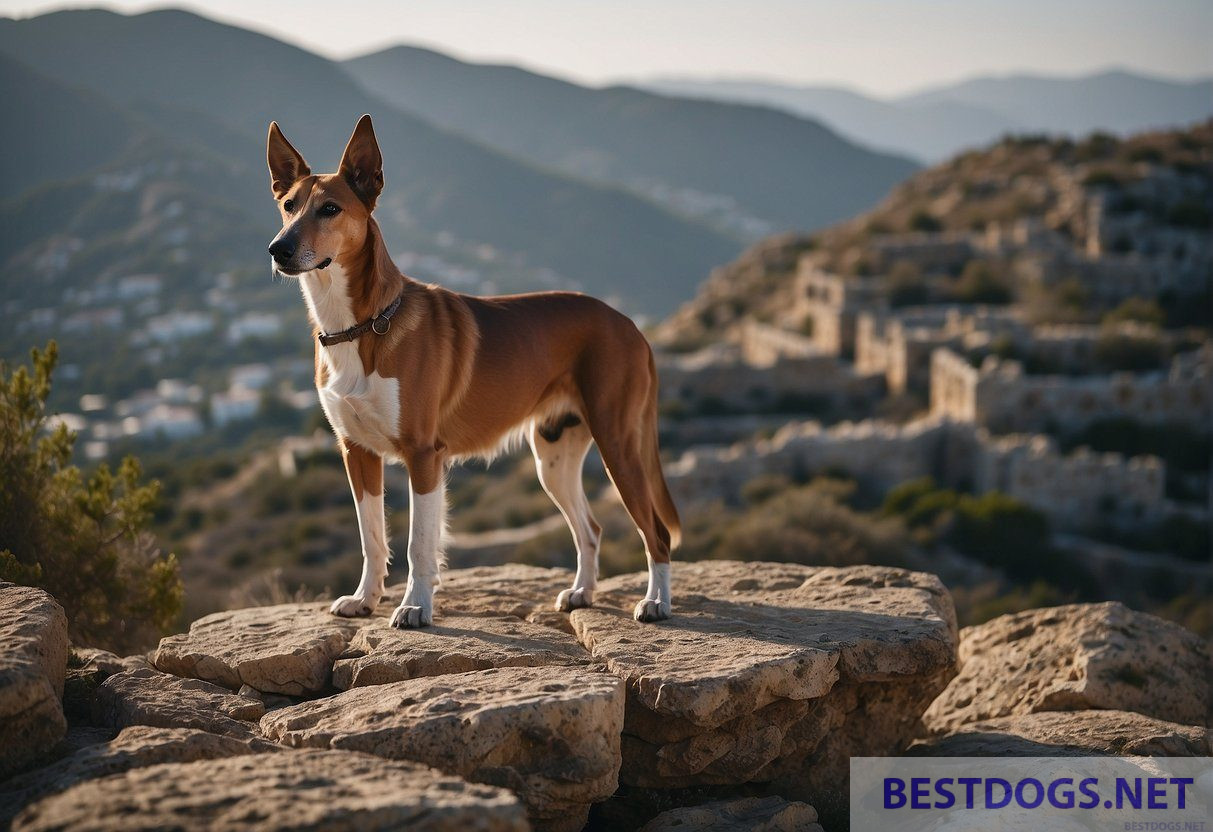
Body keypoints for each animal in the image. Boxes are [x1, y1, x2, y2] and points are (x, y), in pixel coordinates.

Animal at [268, 114, 684, 630]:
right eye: (288, 206)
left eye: (329, 209)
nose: (278, 249)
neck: (361, 327)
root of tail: (629, 325)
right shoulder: (356, 452)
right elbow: (371, 538)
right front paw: (365, 600)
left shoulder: (423, 455)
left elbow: (418, 544)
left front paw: (415, 607)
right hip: (554, 458)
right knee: (590, 527)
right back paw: (582, 593)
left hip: (619, 444)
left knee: (656, 532)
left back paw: (656, 602)